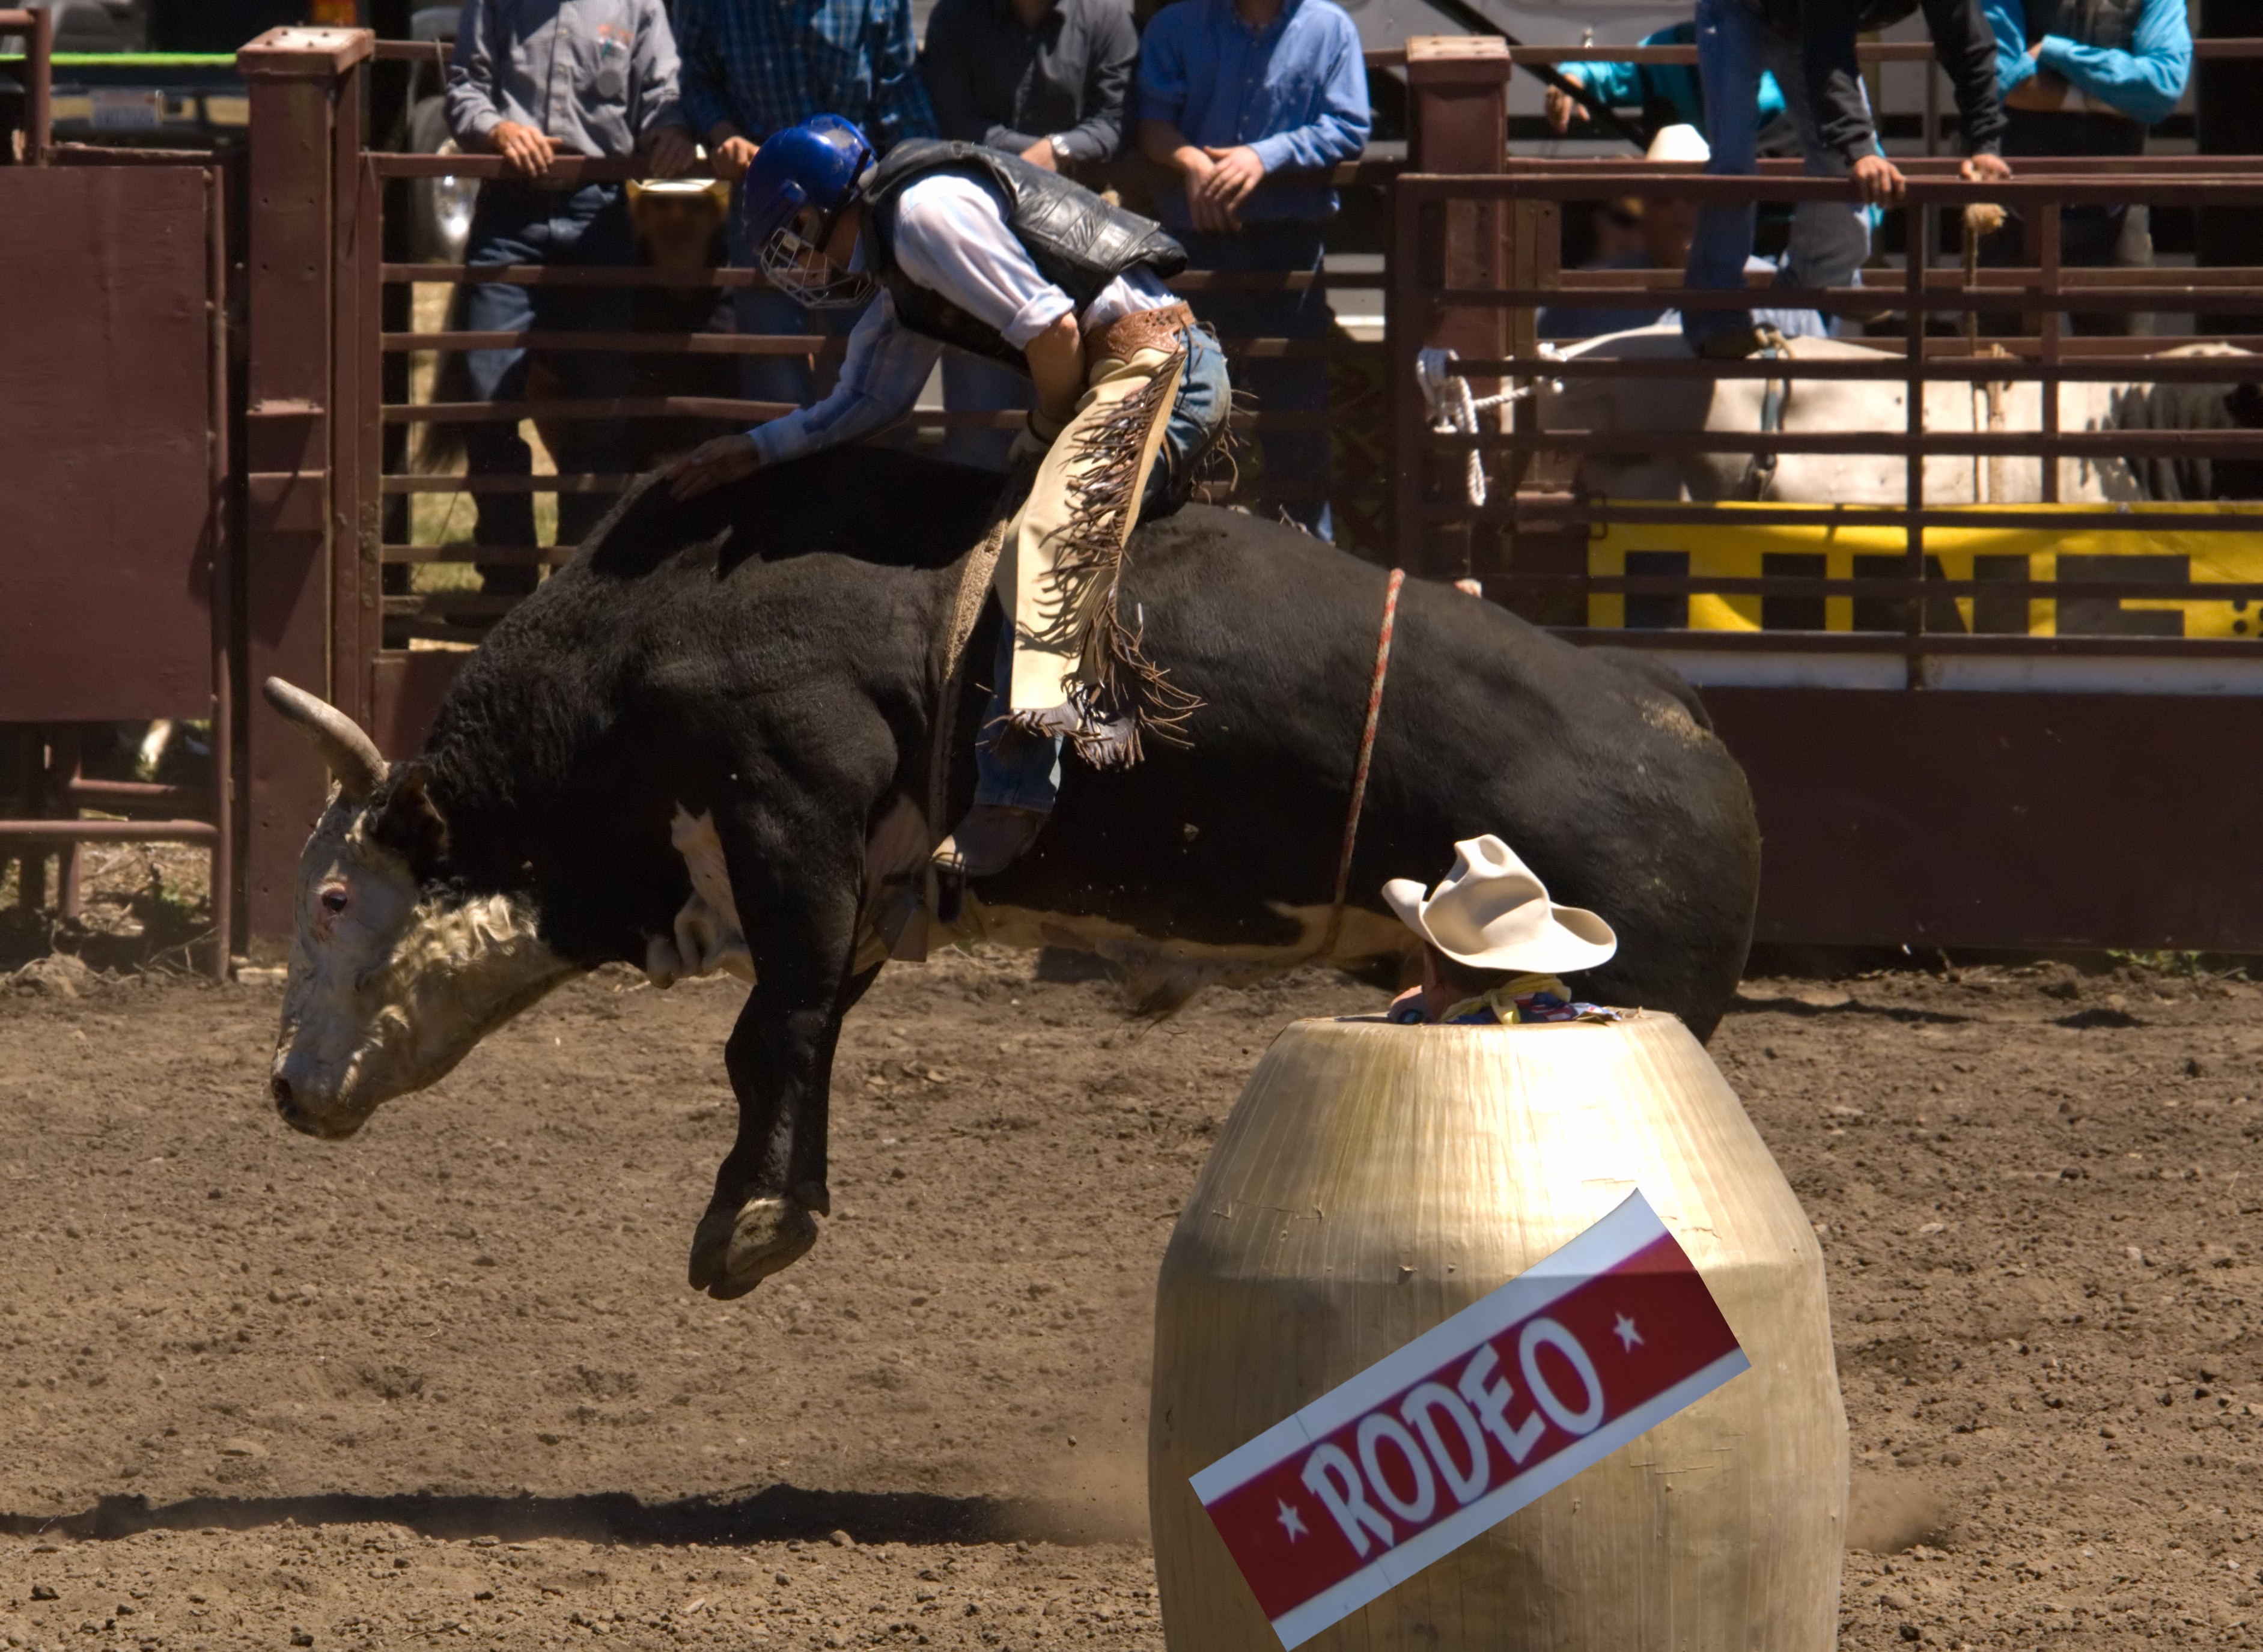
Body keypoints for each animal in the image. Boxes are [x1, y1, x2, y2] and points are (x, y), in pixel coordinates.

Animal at [260, 450, 1747, 1303]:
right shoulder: (857, 884)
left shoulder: (793, 807)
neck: (652, 633)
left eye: (332, 901)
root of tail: (1684, 733)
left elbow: (772, 1029)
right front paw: (760, 1209)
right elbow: (797, 1033)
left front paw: (753, 1229)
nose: (280, 1088)